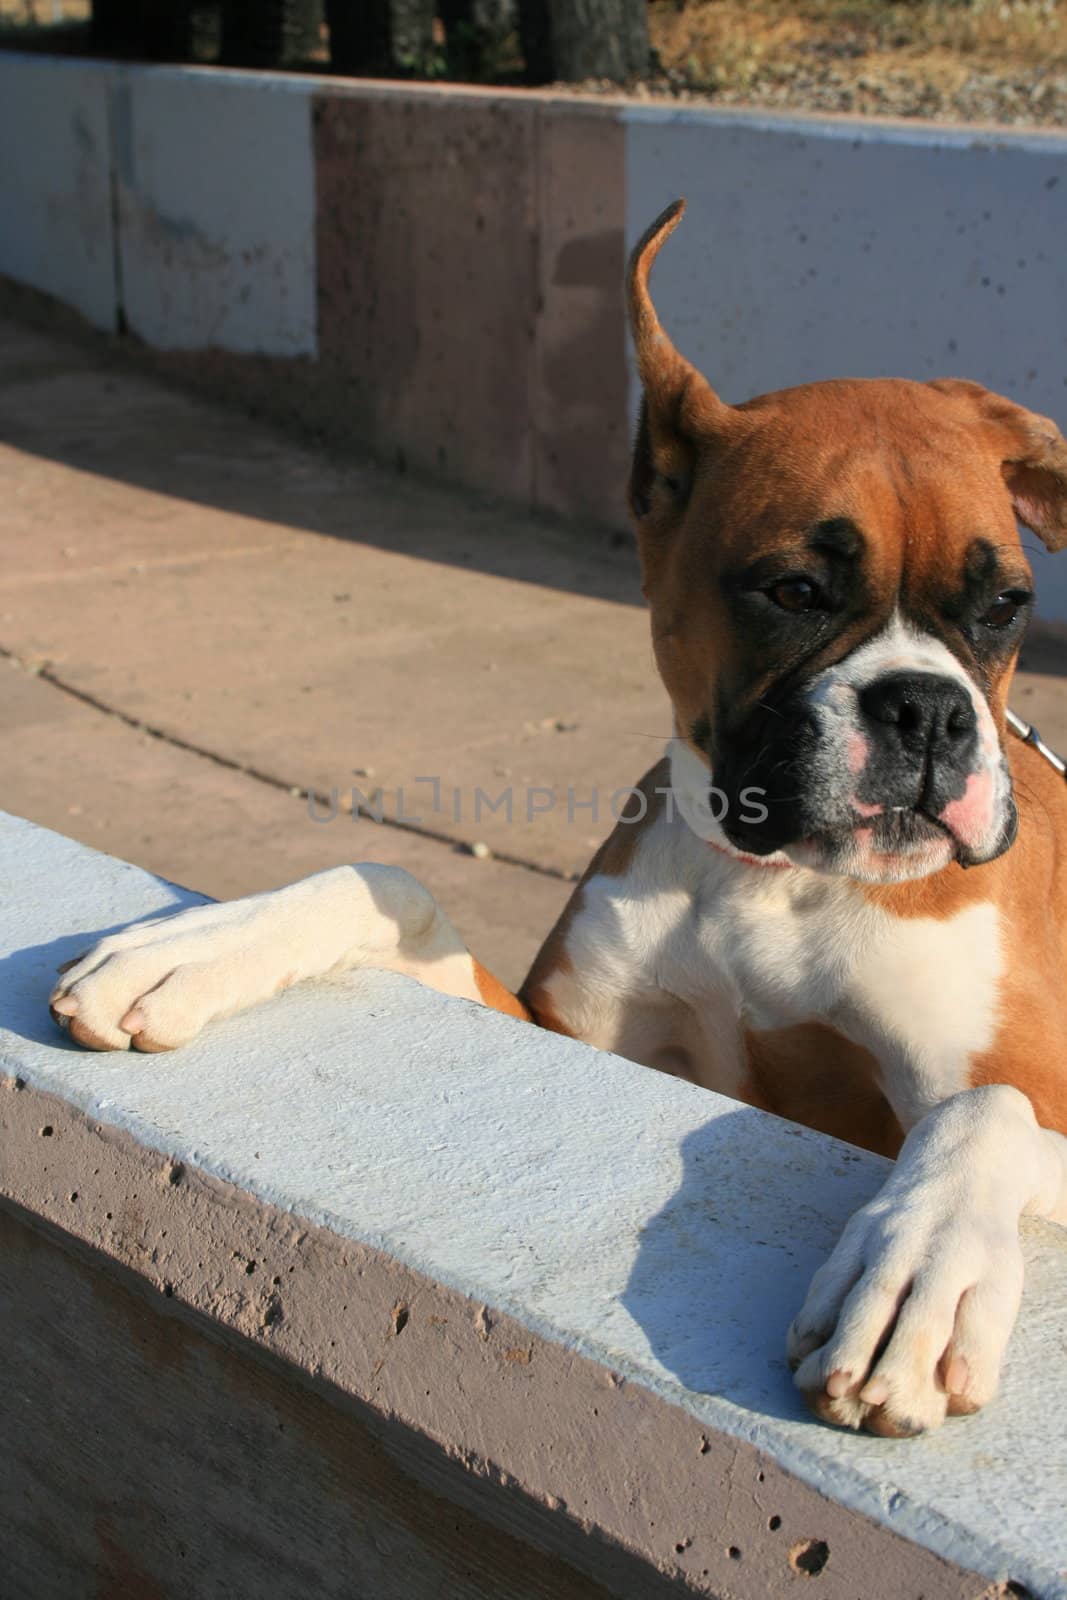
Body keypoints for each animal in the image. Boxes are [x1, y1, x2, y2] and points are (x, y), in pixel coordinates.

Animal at [49, 206, 1067, 1446]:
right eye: (791, 592)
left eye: (1004, 605)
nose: (924, 709)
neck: (772, 880)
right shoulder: (561, 1036)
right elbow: (387, 881)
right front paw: (189, 947)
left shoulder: (1018, 1089)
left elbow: (986, 1102)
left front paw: (921, 1273)